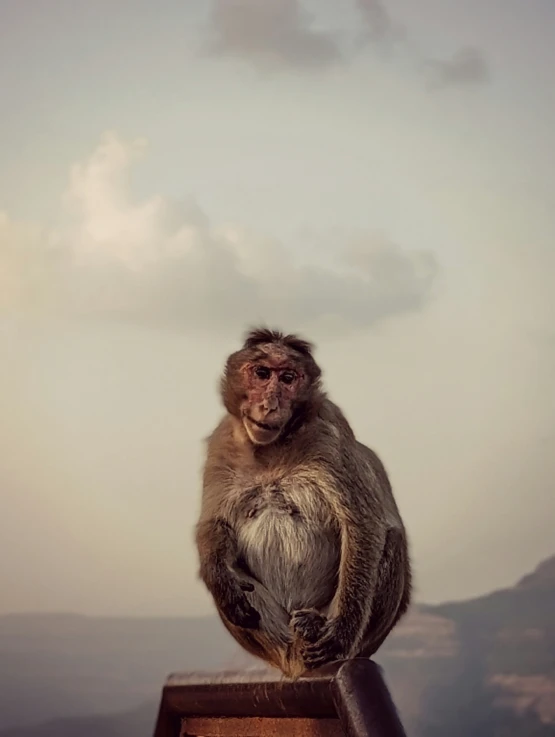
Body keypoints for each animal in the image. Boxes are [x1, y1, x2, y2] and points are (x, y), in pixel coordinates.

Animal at [195, 328, 412, 680]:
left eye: (287, 378)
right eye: (262, 373)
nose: (270, 404)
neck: (272, 449)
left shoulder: (329, 431)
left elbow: (362, 525)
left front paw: (339, 634)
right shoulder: (222, 442)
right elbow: (214, 524)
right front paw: (221, 582)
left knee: (390, 538)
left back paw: (317, 630)